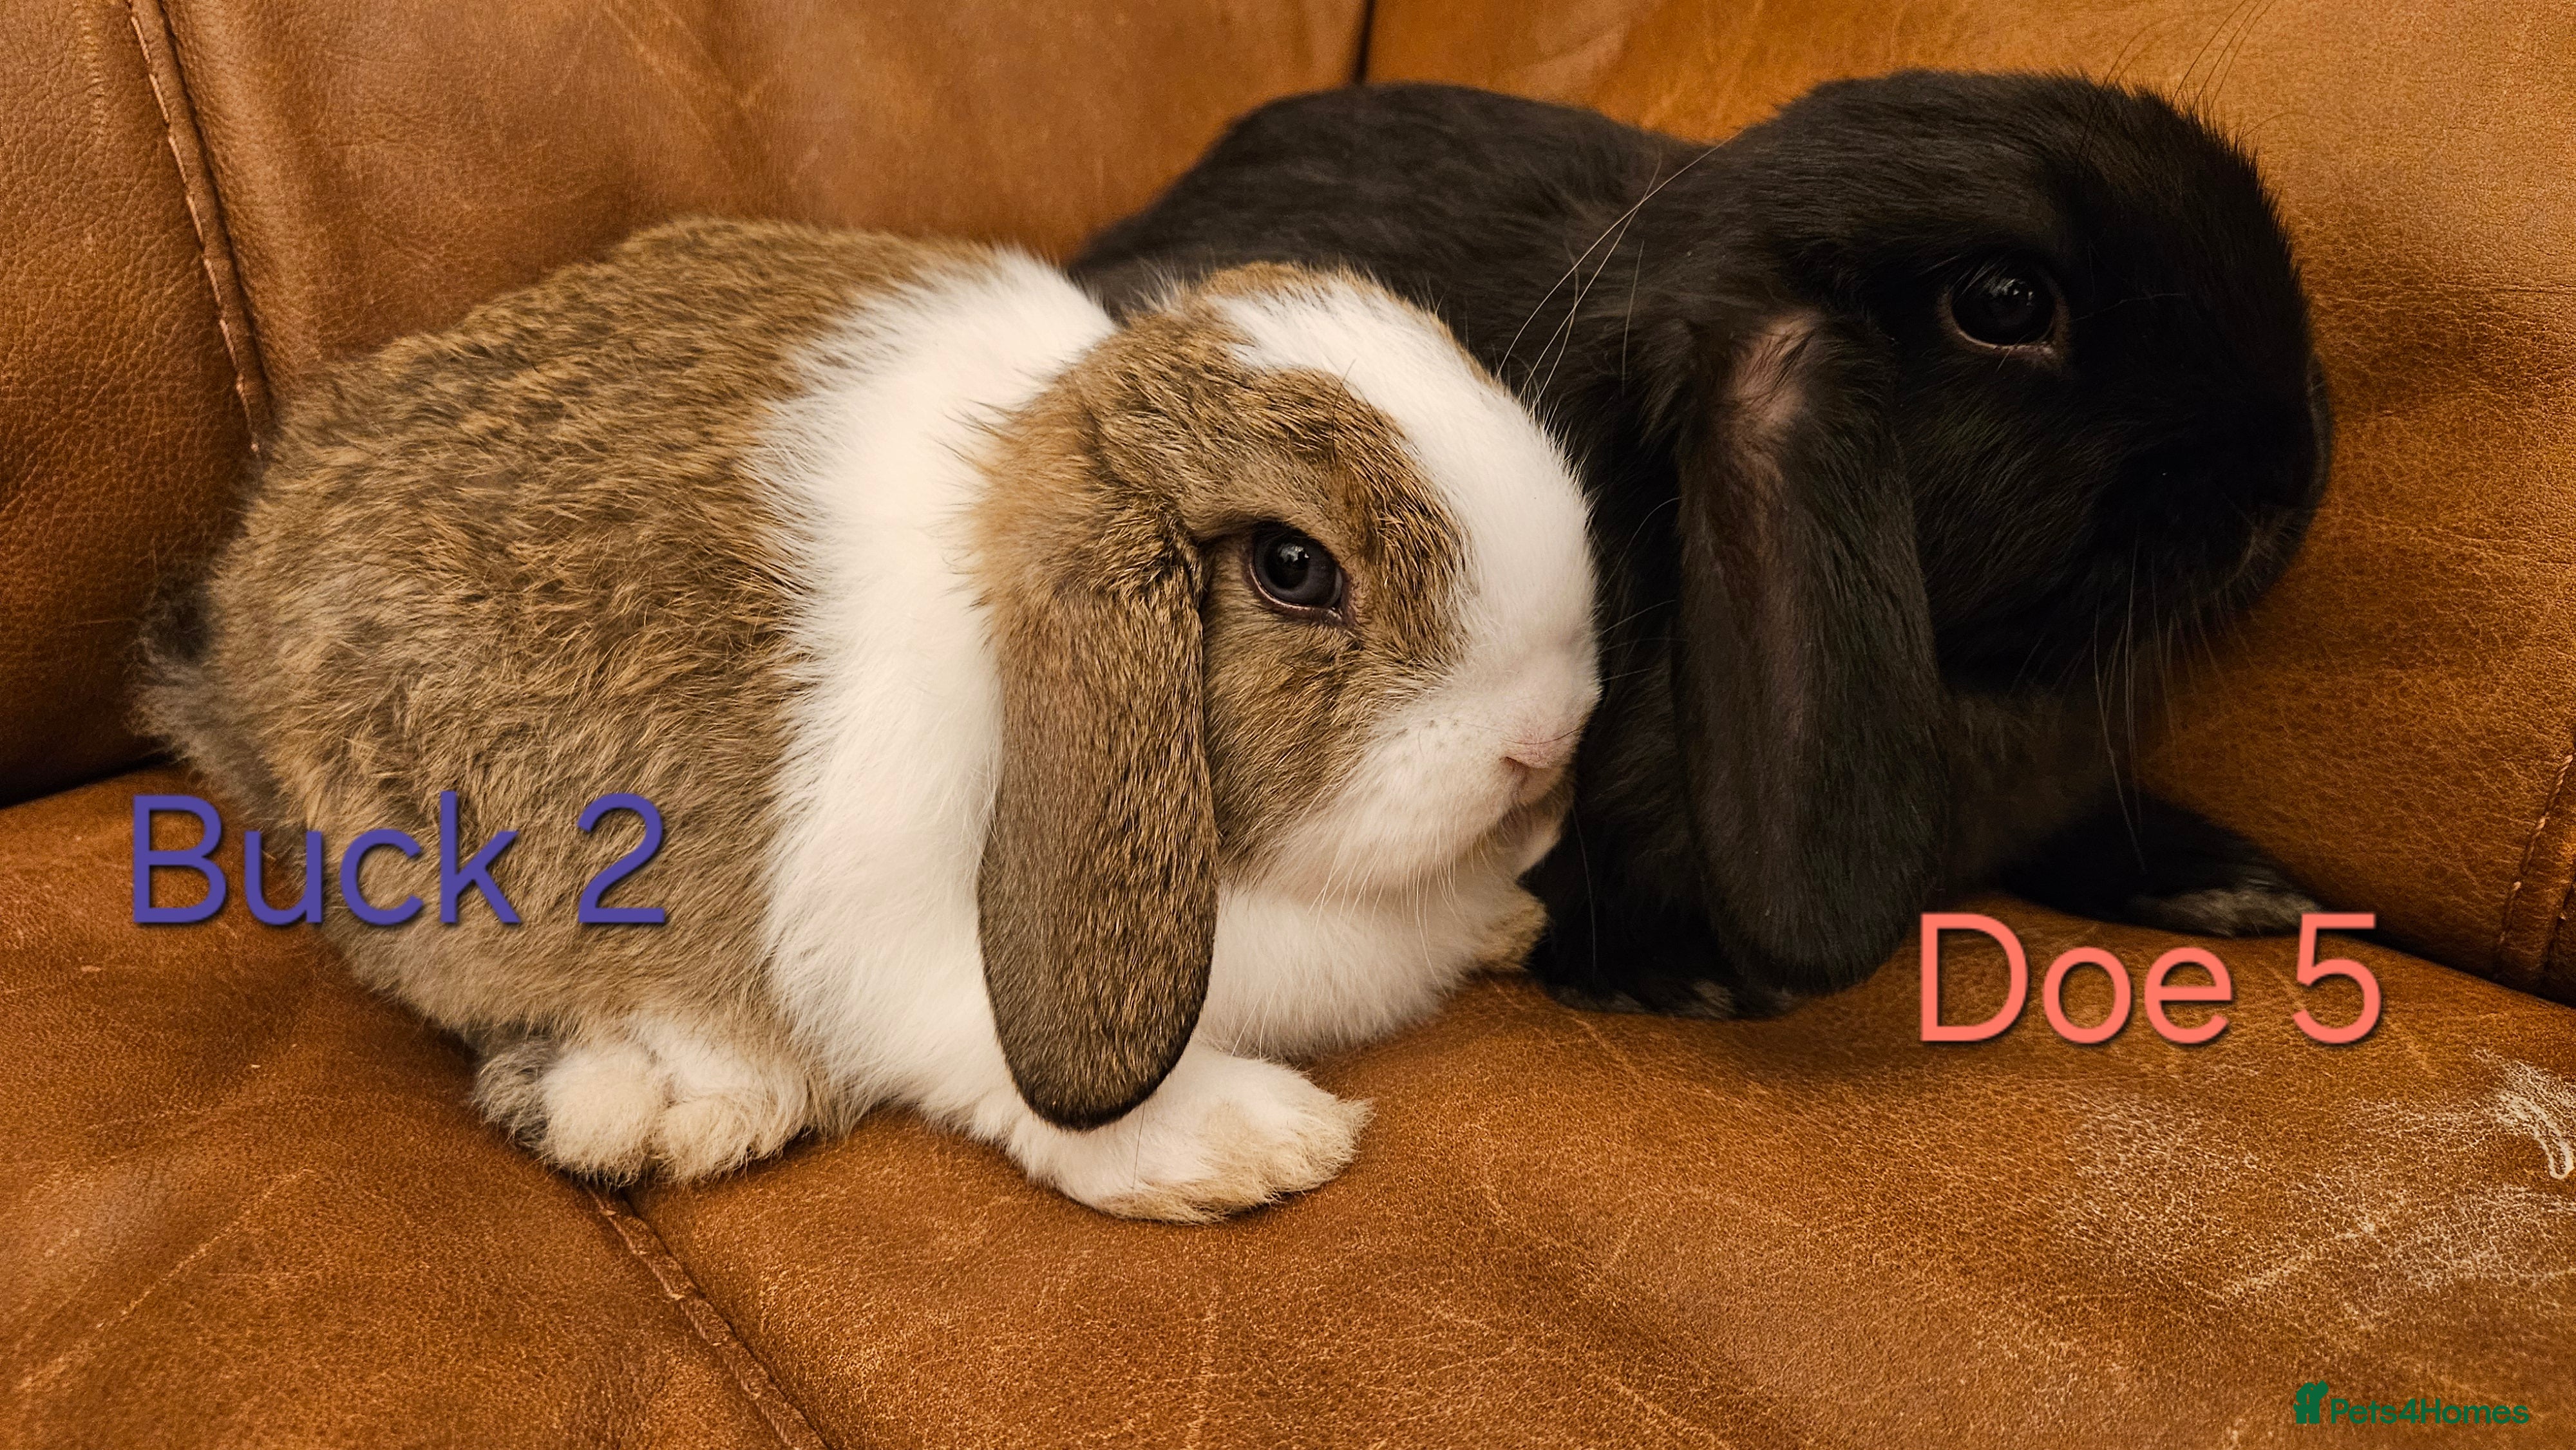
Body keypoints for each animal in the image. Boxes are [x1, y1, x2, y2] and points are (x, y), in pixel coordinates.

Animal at [138, 217, 1599, 1221]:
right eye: (1293, 569)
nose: (1547, 739)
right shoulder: (900, 950)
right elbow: (999, 1068)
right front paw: (1246, 1143)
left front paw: (1503, 924)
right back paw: (673, 1101)